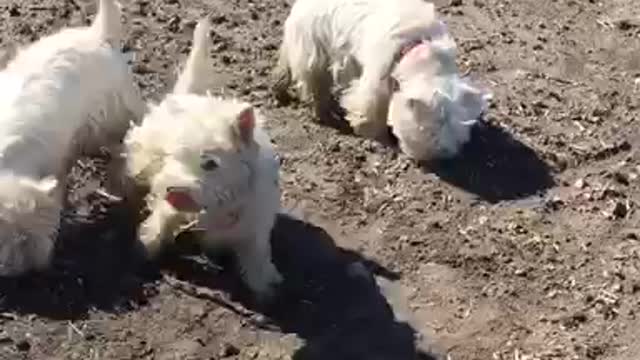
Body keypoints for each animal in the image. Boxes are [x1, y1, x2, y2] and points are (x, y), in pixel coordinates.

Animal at [124, 18, 284, 300]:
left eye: (210, 164)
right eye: (175, 156)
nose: (172, 189)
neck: (220, 206)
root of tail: (187, 95)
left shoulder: (255, 225)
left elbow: (257, 252)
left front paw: (265, 285)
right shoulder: (170, 204)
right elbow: (162, 219)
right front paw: (146, 244)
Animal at [274, 0, 490, 161]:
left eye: (458, 139)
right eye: (429, 134)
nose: (440, 158)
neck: (420, 50)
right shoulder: (377, 72)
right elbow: (371, 105)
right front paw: (374, 134)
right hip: (314, 44)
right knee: (314, 80)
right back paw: (322, 112)